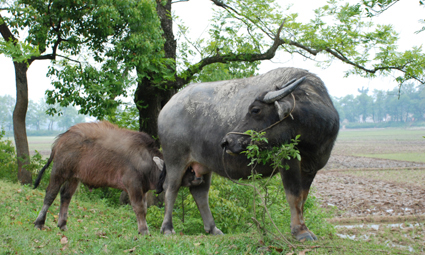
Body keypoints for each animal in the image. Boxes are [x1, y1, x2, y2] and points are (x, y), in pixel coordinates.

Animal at [32, 121, 166, 235]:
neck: (147, 161)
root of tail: (63, 137)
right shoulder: (133, 185)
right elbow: (139, 208)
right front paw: (144, 231)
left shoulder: (143, 189)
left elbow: (144, 208)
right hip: (59, 171)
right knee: (50, 194)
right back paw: (39, 222)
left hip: (74, 177)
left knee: (66, 195)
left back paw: (62, 224)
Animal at [157, 66, 340, 241]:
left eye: (255, 110)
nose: (227, 141)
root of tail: (166, 108)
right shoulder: (288, 162)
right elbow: (293, 195)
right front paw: (300, 232)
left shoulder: (312, 166)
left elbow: (302, 197)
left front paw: (303, 228)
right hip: (175, 159)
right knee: (170, 188)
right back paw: (167, 228)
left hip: (203, 165)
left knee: (200, 193)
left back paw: (213, 229)